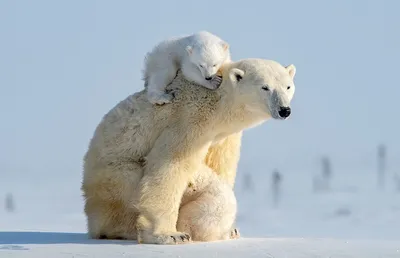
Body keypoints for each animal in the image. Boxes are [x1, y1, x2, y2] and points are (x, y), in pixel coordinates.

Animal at [81, 58, 296, 244]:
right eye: (265, 87)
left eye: (288, 86)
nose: (284, 110)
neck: (217, 100)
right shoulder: (189, 120)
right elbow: (169, 166)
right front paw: (170, 235)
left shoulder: (223, 135)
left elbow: (219, 163)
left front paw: (232, 229)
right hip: (117, 177)